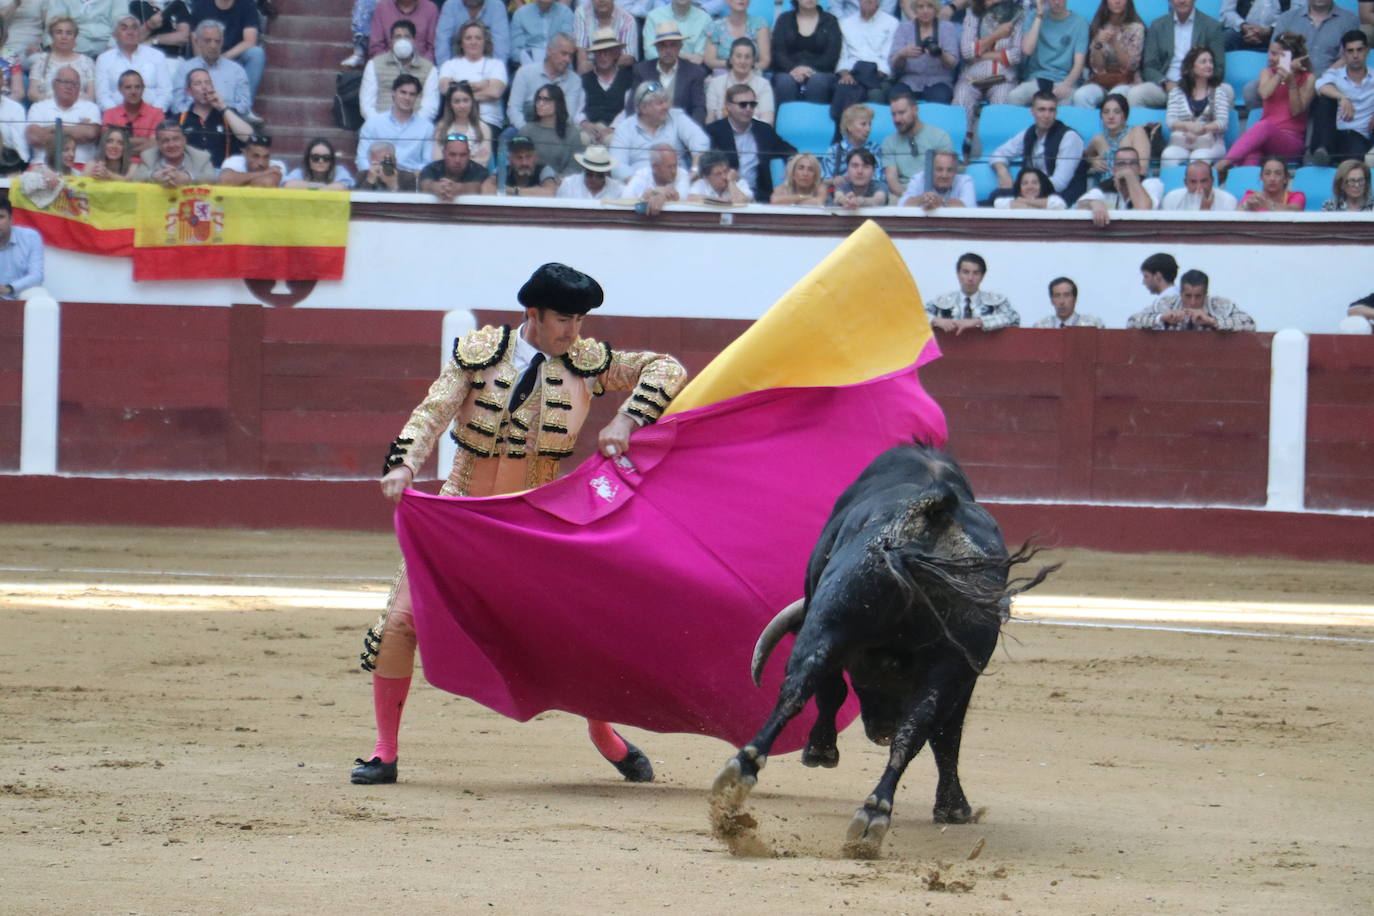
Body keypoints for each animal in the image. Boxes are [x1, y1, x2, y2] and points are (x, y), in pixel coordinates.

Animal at [708, 439, 1049, 856]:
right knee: (912, 726)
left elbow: (836, 691)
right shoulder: (961, 672)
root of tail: (932, 515)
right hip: (933, 659)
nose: (881, 729)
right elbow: (945, 735)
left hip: (839, 621)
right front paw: (954, 808)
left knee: (808, 691)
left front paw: (820, 750)